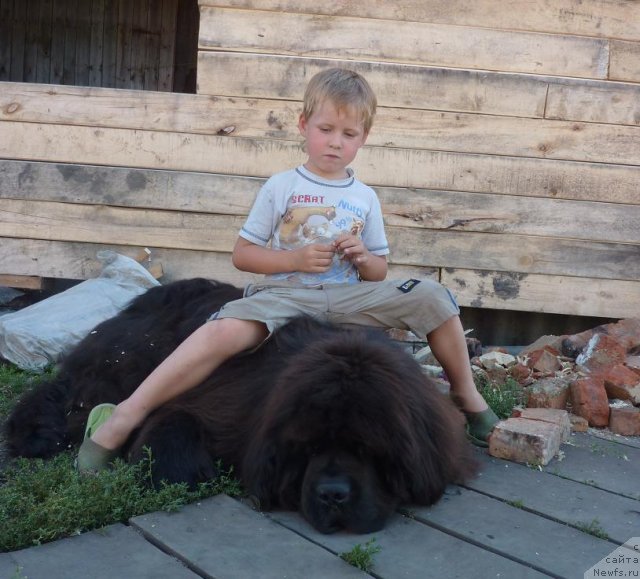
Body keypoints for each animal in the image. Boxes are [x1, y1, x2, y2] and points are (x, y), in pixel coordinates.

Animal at [5, 278, 476, 532]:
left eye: (367, 449)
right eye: (307, 448)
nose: (333, 495)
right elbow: (171, 431)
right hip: (124, 366)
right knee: (70, 399)